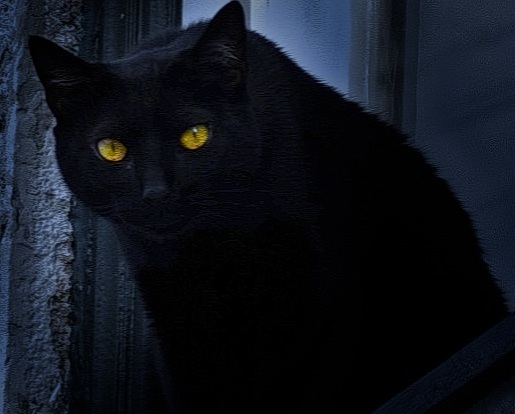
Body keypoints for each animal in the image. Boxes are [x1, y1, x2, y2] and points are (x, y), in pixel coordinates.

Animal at [29, 1, 507, 413]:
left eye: (196, 135)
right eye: (111, 149)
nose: (156, 192)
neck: (218, 245)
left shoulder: (322, 301)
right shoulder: (176, 313)